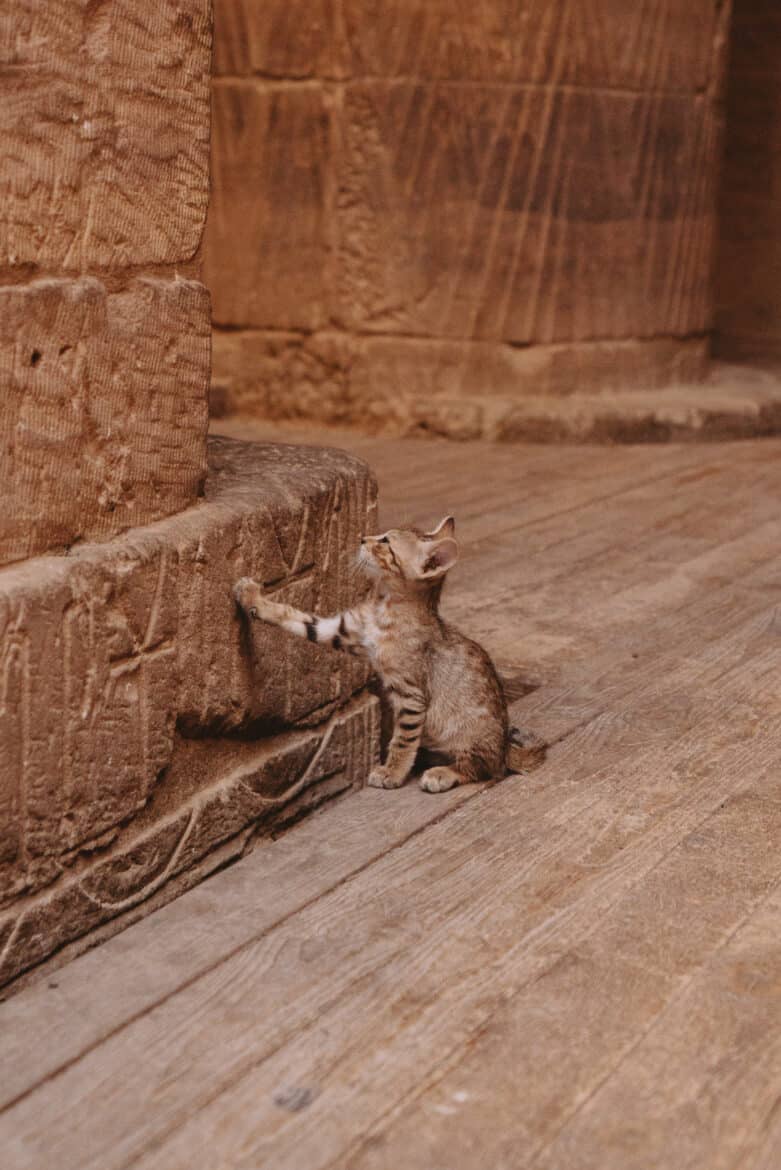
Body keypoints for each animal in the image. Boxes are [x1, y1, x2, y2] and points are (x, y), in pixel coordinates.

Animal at [231, 517, 537, 790]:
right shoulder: (342, 630)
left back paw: (443, 773)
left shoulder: (411, 694)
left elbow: (402, 740)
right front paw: (251, 597)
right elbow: (295, 618)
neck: (384, 606)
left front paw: (393, 772)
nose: (361, 538)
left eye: (386, 542)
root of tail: (505, 748)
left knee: (485, 769)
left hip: (469, 734)